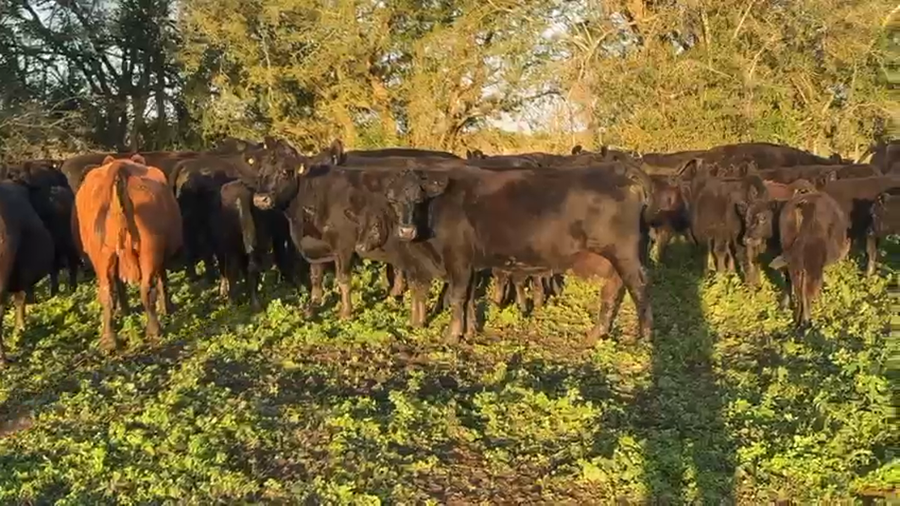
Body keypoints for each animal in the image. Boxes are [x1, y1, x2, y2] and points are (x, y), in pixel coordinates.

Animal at [73, 155, 183, 350]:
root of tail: (120, 166)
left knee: (107, 291)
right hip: (149, 249)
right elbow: (162, 279)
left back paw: (108, 340)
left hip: (104, 254)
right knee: (147, 288)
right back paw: (154, 330)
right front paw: (166, 308)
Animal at [769, 192, 851, 326]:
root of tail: (806, 204)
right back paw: (807, 322)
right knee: (807, 291)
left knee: (796, 286)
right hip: (812, 265)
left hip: (792, 257)